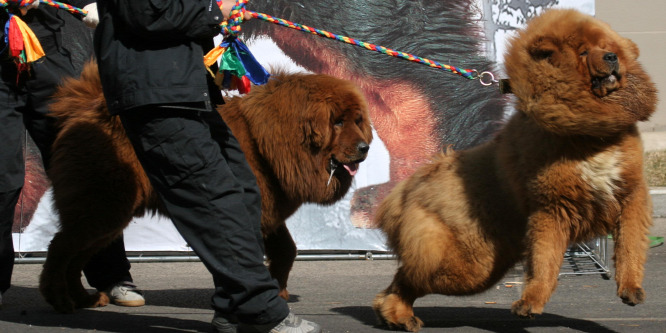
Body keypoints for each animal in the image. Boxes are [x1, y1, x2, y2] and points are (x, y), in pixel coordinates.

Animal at [39, 60, 370, 312]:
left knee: (76, 255)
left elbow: (287, 250)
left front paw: (278, 291)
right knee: (60, 248)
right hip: (102, 207)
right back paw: (59, 300)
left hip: (107, 215)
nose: (365, 147)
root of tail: (86, 107)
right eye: (337, 122)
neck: (268, 140)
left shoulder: (268, 212)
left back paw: (83, 299)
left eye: (357, 121)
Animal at [370, 9, 656, 330]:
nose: (611, 56)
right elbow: (544, 263)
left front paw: (631, 289)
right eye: (583, 52)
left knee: (402, 280)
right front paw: (529, 304)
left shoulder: (630, 196)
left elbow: (630, 247)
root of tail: (402, 193)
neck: (591, 136)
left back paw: (394, 316)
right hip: (467, 266)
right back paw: (398, 315)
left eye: (608, 46)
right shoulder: (551, 209)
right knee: (406, 278)